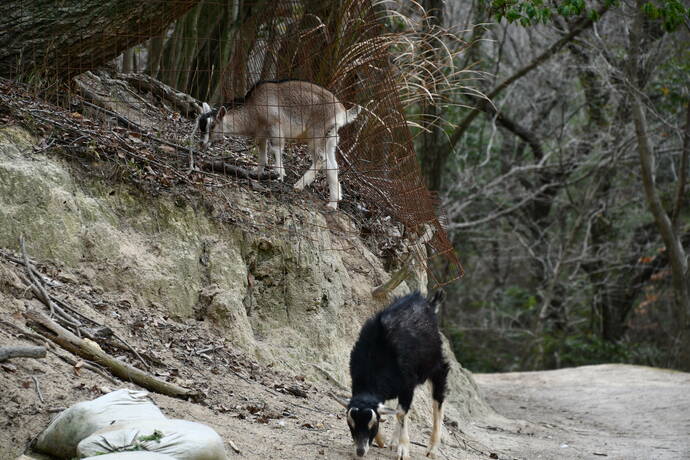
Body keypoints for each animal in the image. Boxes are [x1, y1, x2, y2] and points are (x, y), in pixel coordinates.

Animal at [338, 292, 448, 458]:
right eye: (350, 424)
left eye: (372, 424)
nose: (360, 451)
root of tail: (428, 303)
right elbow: (396, 411)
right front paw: (382, 440)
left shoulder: (408, 384)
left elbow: (401, 413)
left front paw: (403, 450)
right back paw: (393, 442)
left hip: (436, 366)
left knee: (437, 402)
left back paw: (432, 449)